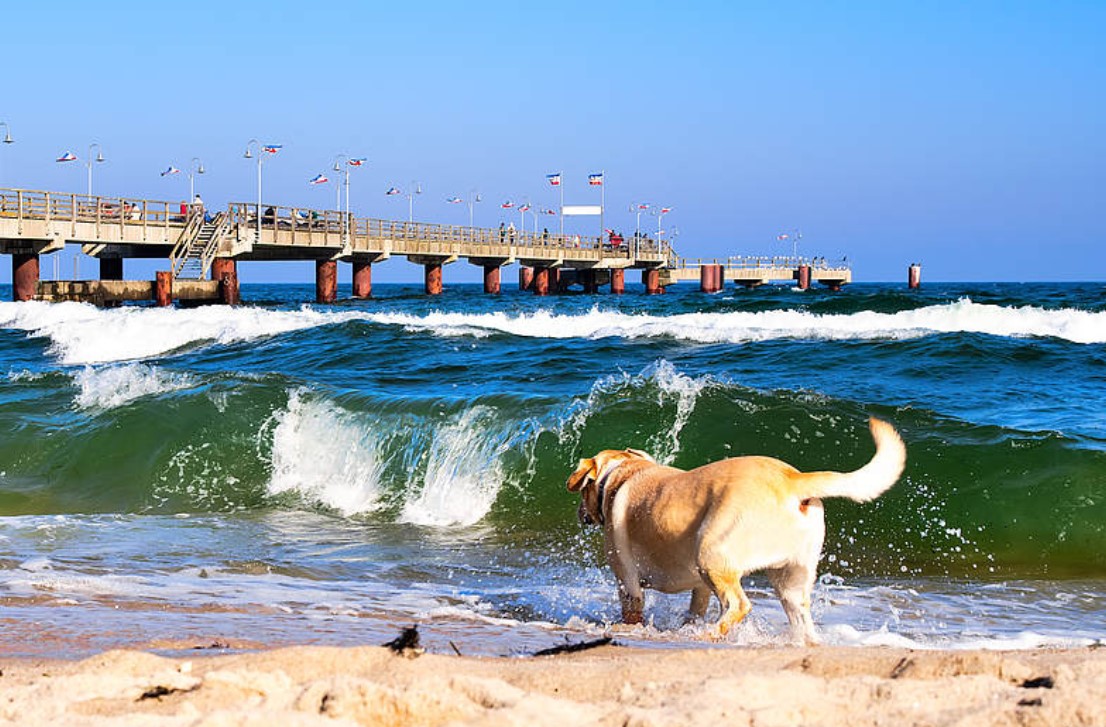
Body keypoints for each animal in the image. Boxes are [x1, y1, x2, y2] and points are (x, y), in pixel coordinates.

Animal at [566, 416, 902, 641]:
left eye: (582, 492)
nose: (581, 513)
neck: (621, 474)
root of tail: (792, 480)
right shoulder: (699, 586)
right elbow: (695, 607)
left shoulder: (627, 580)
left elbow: (633, 610)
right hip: (790, 580)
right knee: (799, 620)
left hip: (711, 553)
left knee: (739, 604)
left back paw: (708, 635)